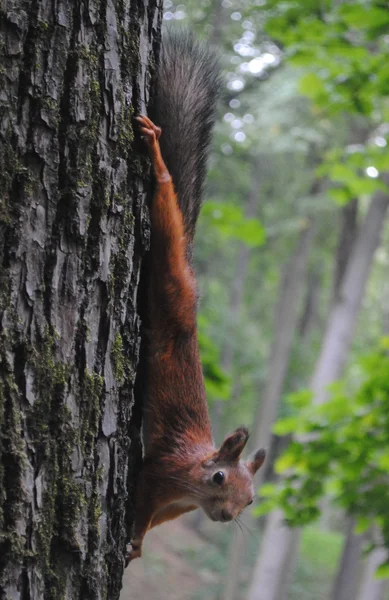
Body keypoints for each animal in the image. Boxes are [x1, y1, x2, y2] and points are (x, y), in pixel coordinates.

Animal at [126, 32, 266, 564]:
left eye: (251, 499)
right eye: (219, 476)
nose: (225, 516)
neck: (191, 487)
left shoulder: (177, 507)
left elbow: (158, 520)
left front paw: (139, 546)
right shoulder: (160, 473)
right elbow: (142, 503)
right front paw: (133, 541)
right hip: (171, 278)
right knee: (166, 214)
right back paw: (157, 157)